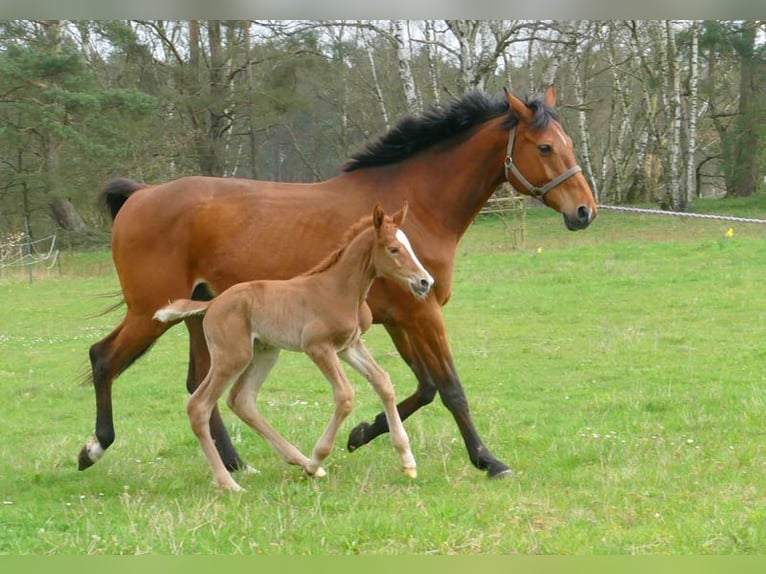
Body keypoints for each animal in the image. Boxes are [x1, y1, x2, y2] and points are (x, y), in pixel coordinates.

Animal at [154, 205, 436, 492]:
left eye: (409, 246)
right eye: (393, 249)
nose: (425, 282)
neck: (339, 290)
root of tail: (212, 304)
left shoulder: (350, 346)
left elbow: (383, 382)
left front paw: (408, 461)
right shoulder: (318, 347)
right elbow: (345, 396)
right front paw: (316, 460)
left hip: (265, 352)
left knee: (242, 400)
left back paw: (297, 460)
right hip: (232, 357)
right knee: (199, 406)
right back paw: (230, 483)